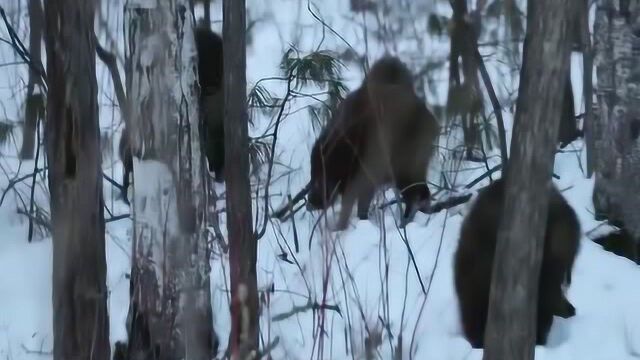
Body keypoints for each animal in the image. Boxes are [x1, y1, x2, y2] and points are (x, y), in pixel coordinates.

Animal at [306, 57, 440, 231]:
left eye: (319, 174)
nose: (310, 204)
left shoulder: (363, 176)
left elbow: (353, 204)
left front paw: (341, 228)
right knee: (422, 191)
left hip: (405, 165)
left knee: (415, 193)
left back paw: (405, 221)